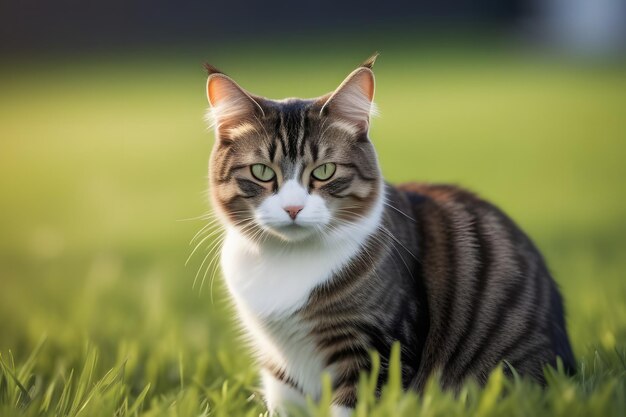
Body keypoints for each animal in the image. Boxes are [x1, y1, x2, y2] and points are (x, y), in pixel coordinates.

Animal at [202, 56, 572, 416]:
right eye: (262, 172)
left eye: (325, 171)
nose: (293, 208)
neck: (286, 261)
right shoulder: (278, 364)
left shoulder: (375, 348)